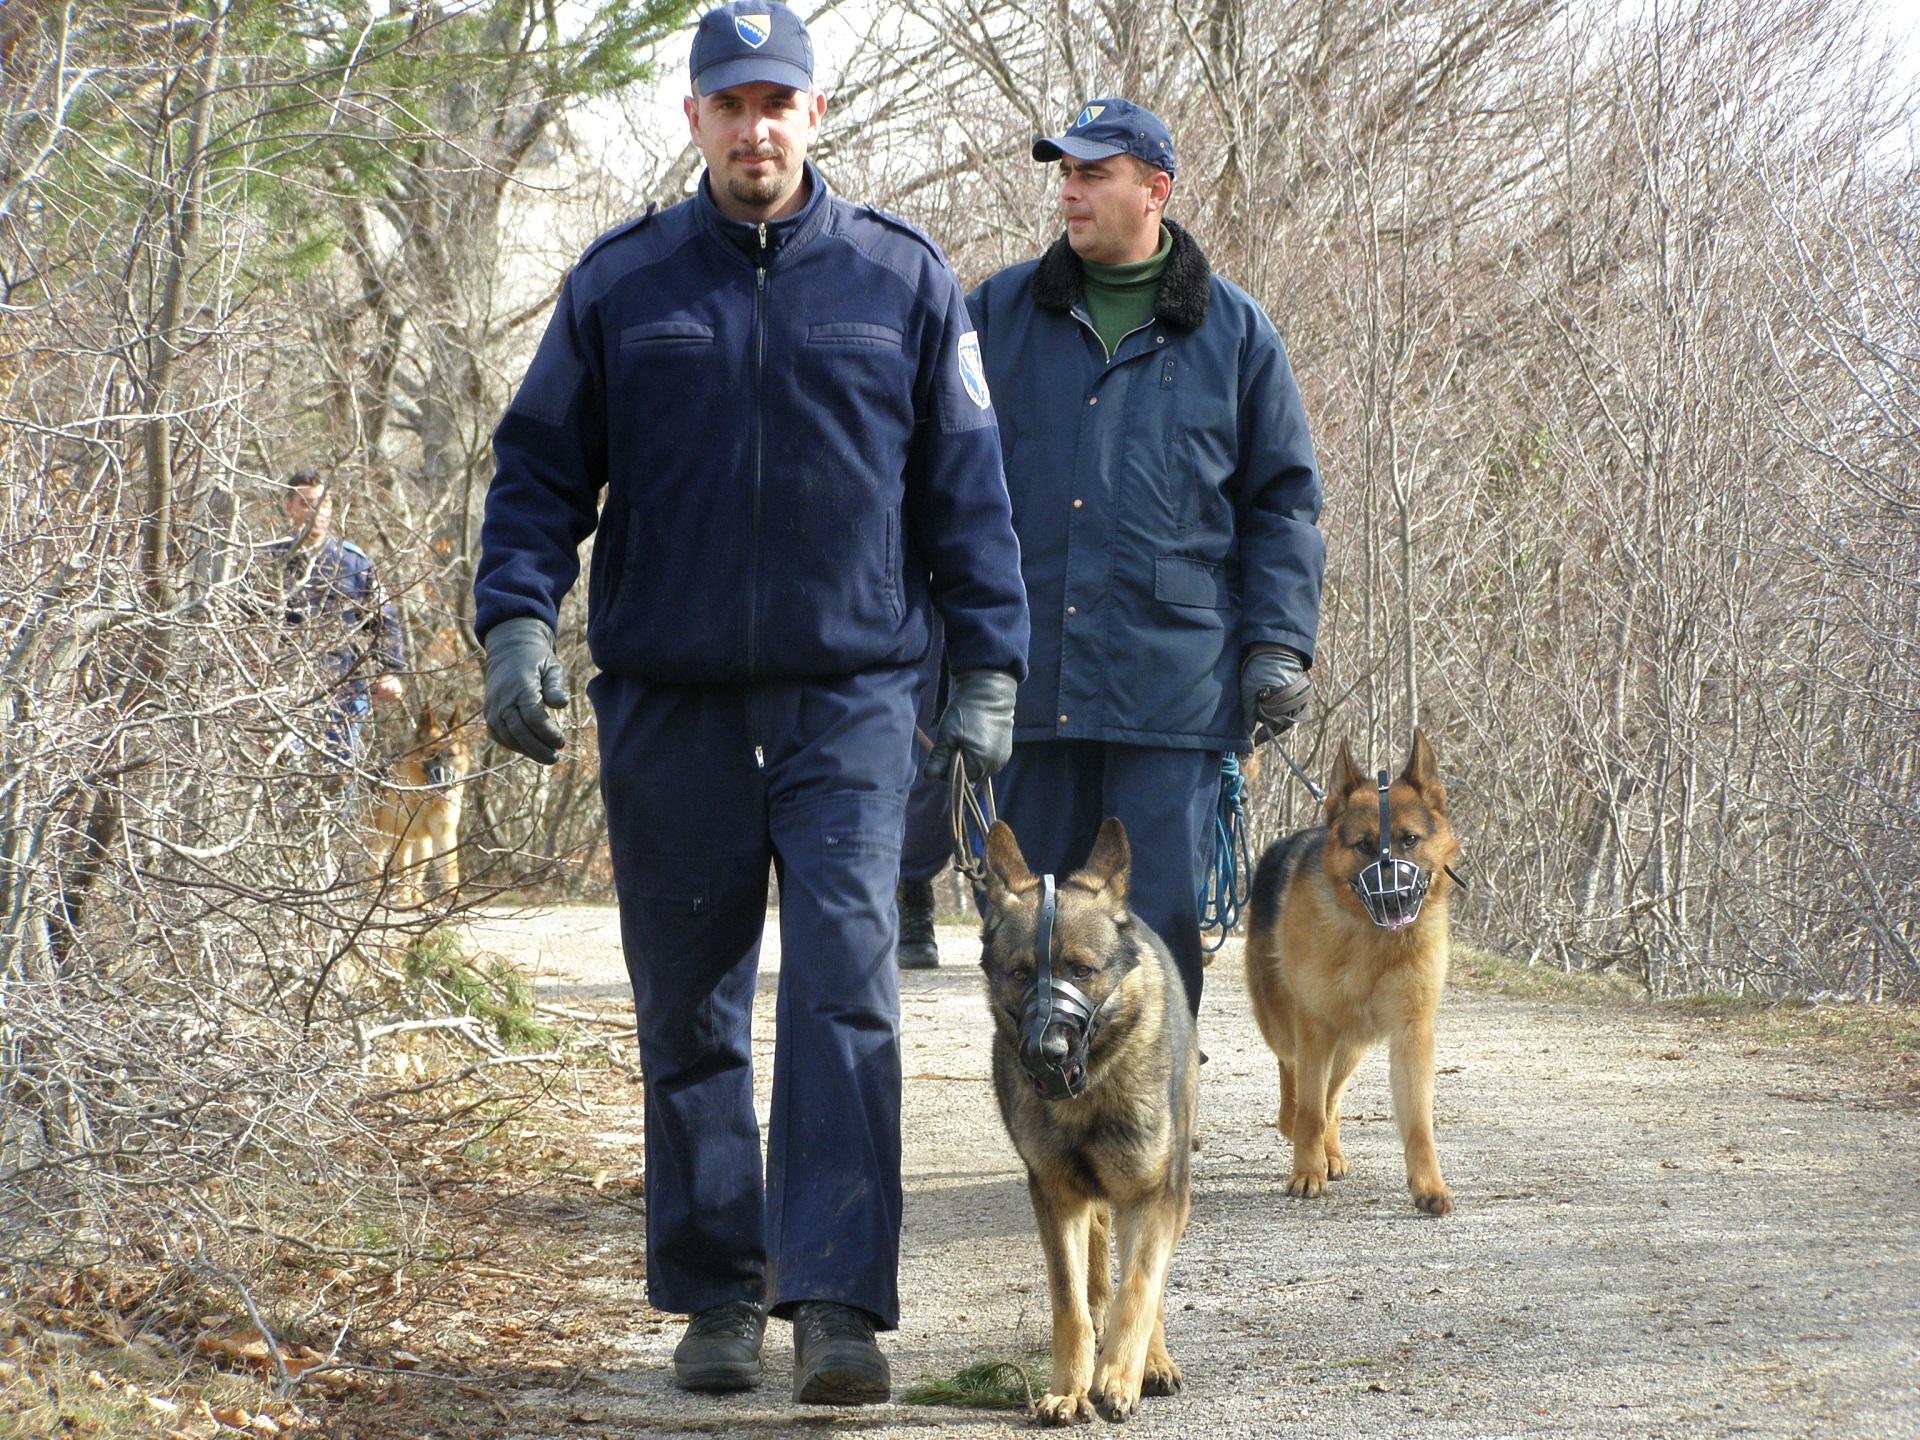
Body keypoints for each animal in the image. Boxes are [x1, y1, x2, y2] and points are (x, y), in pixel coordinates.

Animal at [370, 706, 472, 906]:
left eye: (451, 755)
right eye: (432, 754)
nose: (444, 782)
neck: (427, 800)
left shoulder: (444, 835)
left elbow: (450, 867)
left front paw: (453, 895)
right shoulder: (404, 838)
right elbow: (403, 870)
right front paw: (403, 900)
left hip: (423, 847)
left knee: (417, 875)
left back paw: (419, 900)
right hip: (378, 839)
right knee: (375, 866)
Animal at [983, 817, 1190, 1428]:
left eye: (1082, 970)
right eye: (1021, 974)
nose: (1045, 1053)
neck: (1088, 1092)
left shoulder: (1155, 1196)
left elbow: (1140, 1287)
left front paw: (1119, 1377)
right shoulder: (1057, 1196)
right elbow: (1070, 1302)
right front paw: (1068, 1390)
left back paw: (1153, 1361)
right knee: (1099, 1263)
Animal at [1236, 733, 1459, 1221]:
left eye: (1409, 840)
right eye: (1363, 845)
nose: (1393, 898)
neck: (1373, 943)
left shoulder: (1411, 1034)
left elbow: (1417, 1123)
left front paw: (1428, 1186)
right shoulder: (1314, 1027)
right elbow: (1309, 1108)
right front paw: (1306, 1172)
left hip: (1352, 1044)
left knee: (1332, 1098)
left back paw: (1331, 1152)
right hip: (1289, 1026)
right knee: (1295, 1081)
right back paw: (1300, 1133)